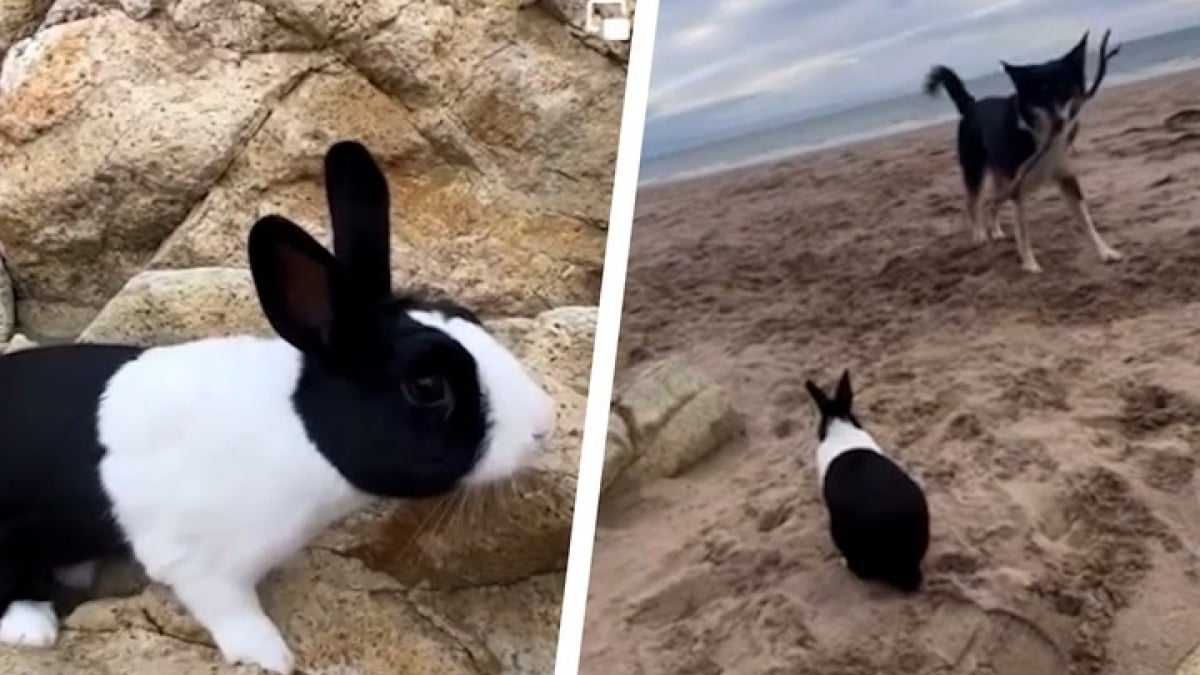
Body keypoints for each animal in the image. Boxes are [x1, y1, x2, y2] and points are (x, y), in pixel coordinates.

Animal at [0, 139, 556, 667]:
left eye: (469, 317)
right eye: (425, 386)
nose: (544, 426)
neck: (298, 429)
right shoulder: (203, 564)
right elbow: (231, 610)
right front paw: (270, 657)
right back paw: (31, 627)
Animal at [926, 28, 1123, 270]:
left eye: (1066, 90)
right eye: (1041, 95)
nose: (1060, 122)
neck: (1040, 136)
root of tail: (971, 105)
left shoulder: (1067, 178)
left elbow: (1086, 221)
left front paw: (1105, 252)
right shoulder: (1018, 190)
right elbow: (1023, 230)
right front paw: (1030, 265)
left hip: (1001, 177)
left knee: (991, 202)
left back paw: (996, 231)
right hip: (975, 170)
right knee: (972, 203)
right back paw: (979, 234)